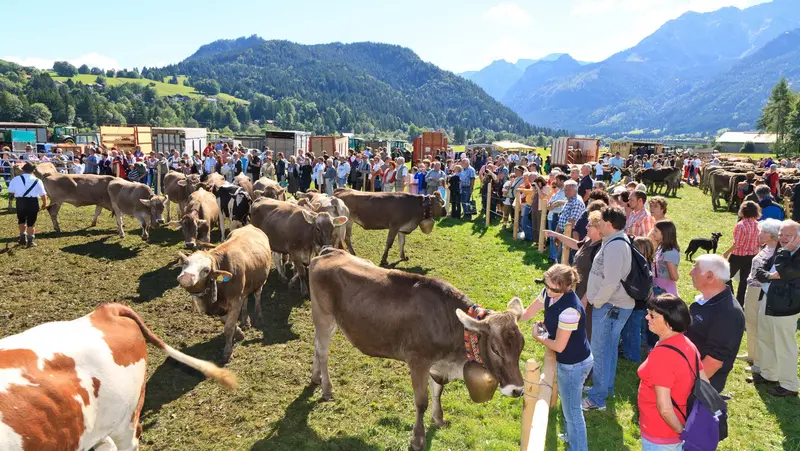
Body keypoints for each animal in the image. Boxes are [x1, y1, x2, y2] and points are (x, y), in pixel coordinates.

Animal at [177, 226, 274, 364]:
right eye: (185, 263)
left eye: (206, 270)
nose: (186, 276)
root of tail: (251, 226)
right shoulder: (224, 306)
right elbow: (226, 321)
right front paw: (239, 332)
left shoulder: (235, 300)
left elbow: (228, 328)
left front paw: (227, 352)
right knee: (245, 299)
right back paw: (245, 320)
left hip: (260, 281)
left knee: (257, 296)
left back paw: (258, 315)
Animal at [306, 249, 524, 450]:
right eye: (496, 349)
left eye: (521, 347)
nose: (518, 390)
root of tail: (330, 251)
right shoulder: (418, 361)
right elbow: (421, 402)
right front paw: (417, 439)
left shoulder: (437, 364)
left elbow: (438, 391)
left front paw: (439, 419)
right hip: (324, 315)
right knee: (323, 351)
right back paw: (327, 388)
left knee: (316, 344)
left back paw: (316, 377)